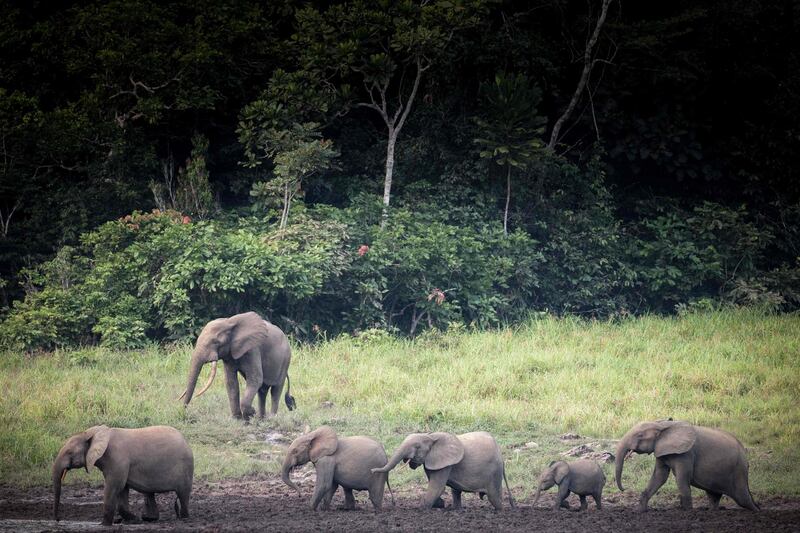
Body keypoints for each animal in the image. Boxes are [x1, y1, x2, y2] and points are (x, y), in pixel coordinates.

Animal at [52, 424, 193, 524]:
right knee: (149, 493)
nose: (58, 519)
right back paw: (149, 519)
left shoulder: (117, 460)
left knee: (183, 493)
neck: (92, 433)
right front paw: (134, 519)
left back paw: (183, 517)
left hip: (185, 468)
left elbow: (115, 487)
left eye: (69, 452)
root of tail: (185, 440)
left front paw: (103, 525)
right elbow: (122, 490)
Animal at [370, 430, 512, 510]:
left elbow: (437, 486)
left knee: (494, 497)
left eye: (417, 446)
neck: (431, 436)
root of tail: (500, 453)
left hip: (494, 472)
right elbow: (435, 485)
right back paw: (456, 509)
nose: (372, 470)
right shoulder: (432, 461)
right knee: (456, 492)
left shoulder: (445, 463)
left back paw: (500, 511)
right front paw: (440, 505)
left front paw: (422, 509)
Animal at [616, 420, 760, 512]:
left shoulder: (686, 454)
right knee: (714, 496)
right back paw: (712, 512)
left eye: (640, 435)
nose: (624, 489)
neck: (662, 425)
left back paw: (757, 511)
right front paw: (640, 511)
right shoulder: (661, 450)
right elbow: (659, 476)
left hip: (738, 471)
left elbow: (681, 479)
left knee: (743, 499)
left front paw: (687, 512)